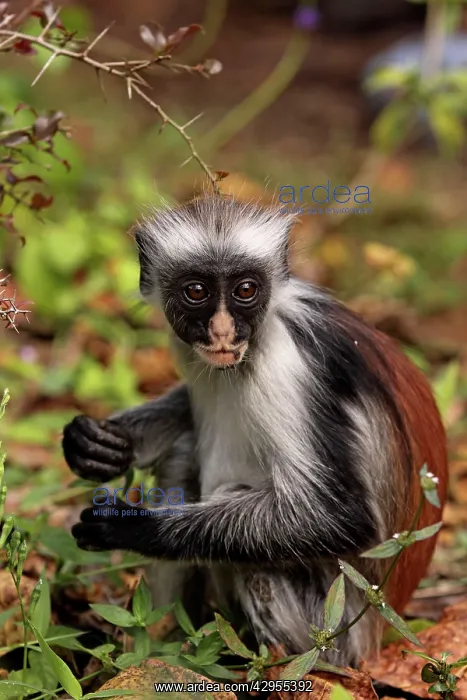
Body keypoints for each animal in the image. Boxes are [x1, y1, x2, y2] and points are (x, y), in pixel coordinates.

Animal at [62, 196, 447, 666]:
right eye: (196, 291)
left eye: (245, 290)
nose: (223, 330)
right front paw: (101, 444)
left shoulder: (287, 365)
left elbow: (339, 517)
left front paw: (132, 528)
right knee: (183, 453)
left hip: (335, 626)